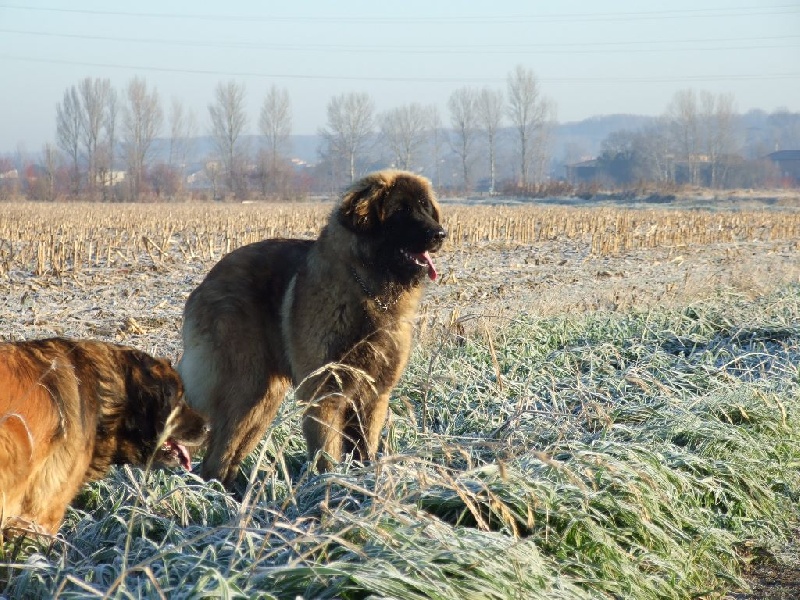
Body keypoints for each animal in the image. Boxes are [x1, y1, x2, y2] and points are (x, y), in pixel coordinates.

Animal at [178, 169, 446, 488]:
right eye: (401, 211)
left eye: (425, 208)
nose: (440, 234)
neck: (369, 291)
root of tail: (207, 280)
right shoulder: (324, 394)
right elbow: (327, 452)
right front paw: (328, 484)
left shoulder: (373, 394)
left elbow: (364, 449)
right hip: (245, 387)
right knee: (216, 459)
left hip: (264, 399)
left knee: (229, 456)